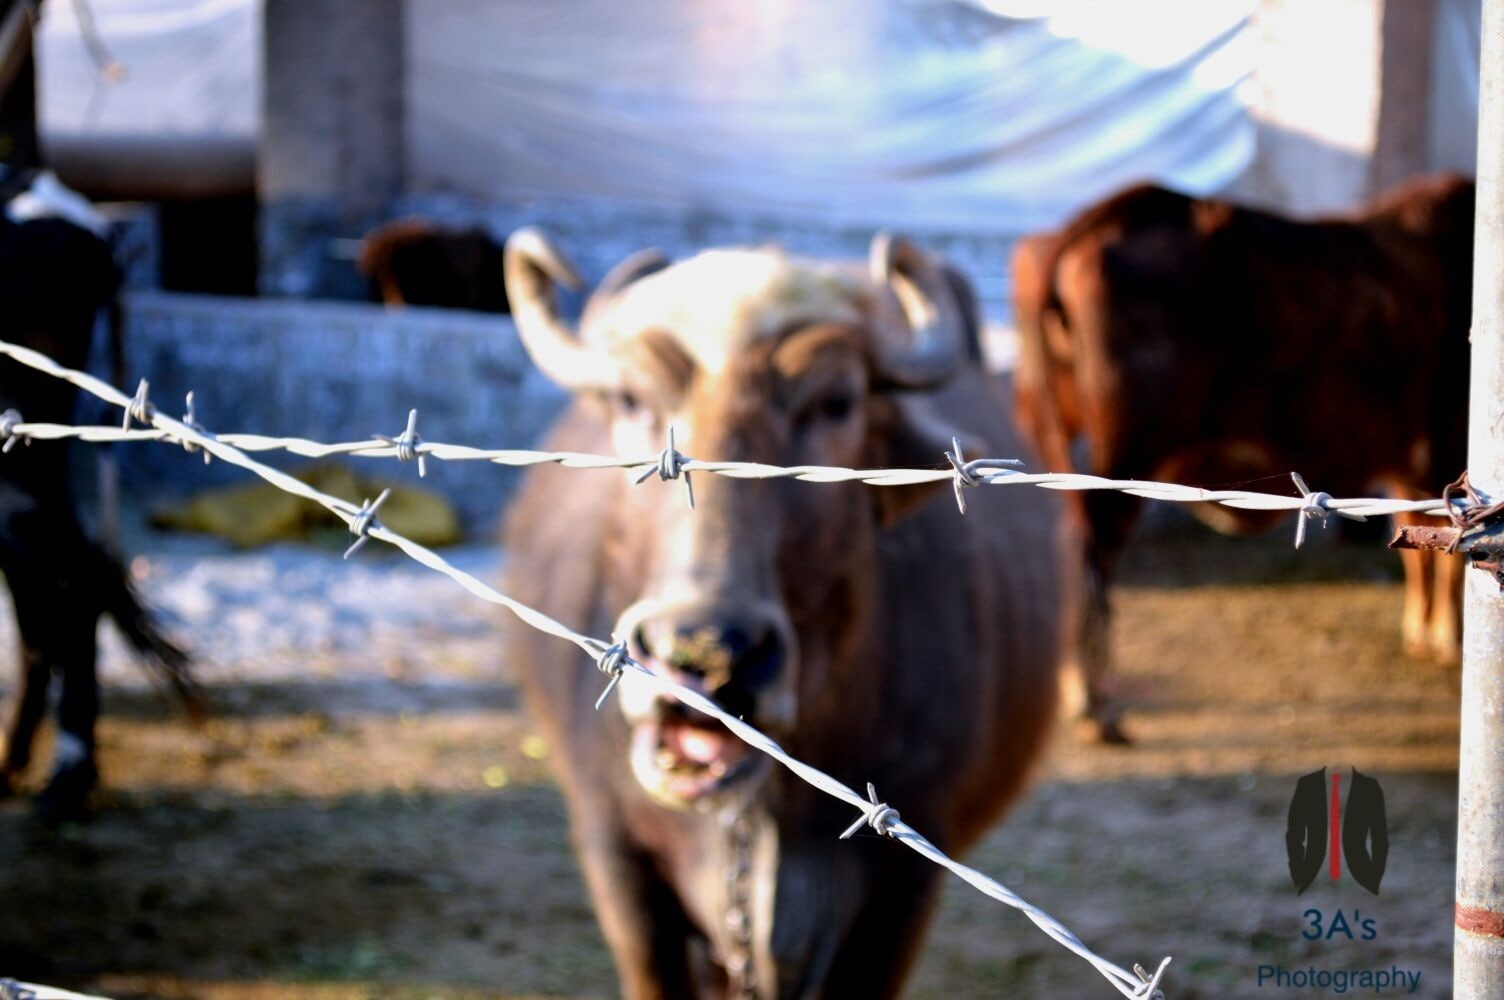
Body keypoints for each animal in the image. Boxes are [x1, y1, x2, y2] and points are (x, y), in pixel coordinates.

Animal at [1011, 174, 1476, 744]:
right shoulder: (1449, 445)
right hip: (1121, 454)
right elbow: (1447, 553)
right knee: (1092, 557)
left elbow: (1417, 548)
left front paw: (1422, 632)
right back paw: (1096, 704)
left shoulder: (1409, 467)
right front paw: (1449, 638)